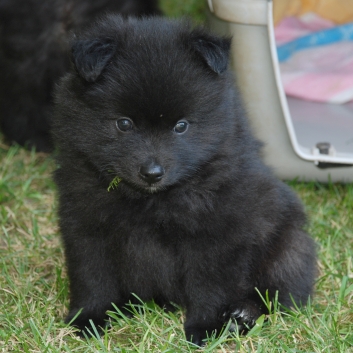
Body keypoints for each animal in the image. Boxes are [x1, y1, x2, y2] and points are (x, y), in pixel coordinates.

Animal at [52, 15, 316, 344]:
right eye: (124, 123)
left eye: (181, 126)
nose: (152, 173)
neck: (149, 202)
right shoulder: (85, 224)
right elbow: (92, 276)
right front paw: (89, 318)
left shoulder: (217, 233)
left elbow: (210, 284)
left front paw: (207, 328)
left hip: (289, 247)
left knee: (280, 292)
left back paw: (243, 313)